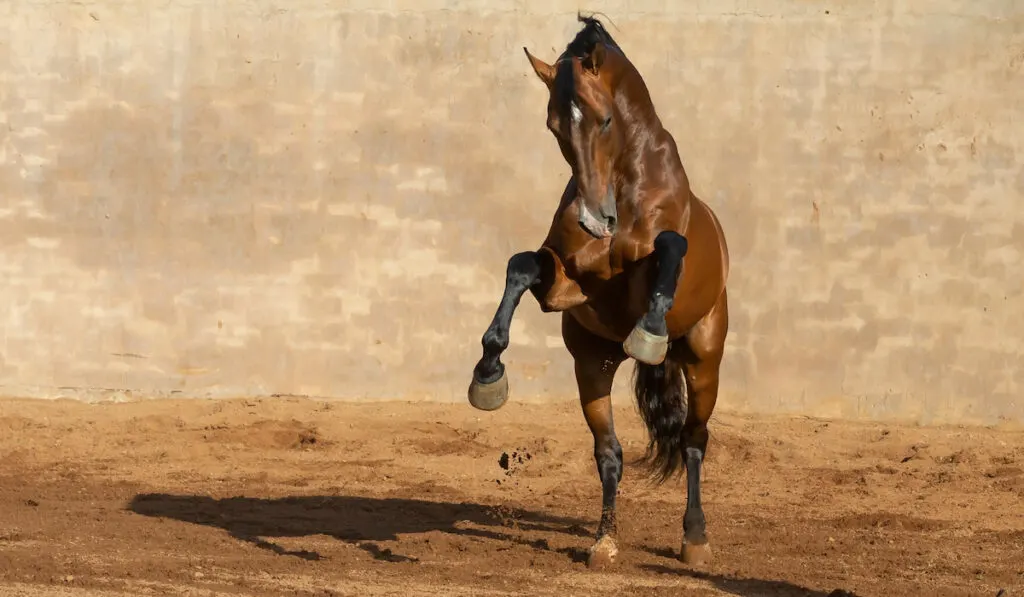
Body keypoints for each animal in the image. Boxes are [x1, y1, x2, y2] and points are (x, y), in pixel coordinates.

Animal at [468, 15, 733, 569]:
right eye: (554, 126)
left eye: (606, 120)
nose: (596, 220)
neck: (625, 190)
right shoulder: (567, 287)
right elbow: (521, 265)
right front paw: (488, 372)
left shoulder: (650, 264)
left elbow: (670, 246)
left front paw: (649, 330)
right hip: (592, 363)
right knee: (609, 452)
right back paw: (603, 541)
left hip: (704, 361)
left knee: (694, 440)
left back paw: (695, 539)